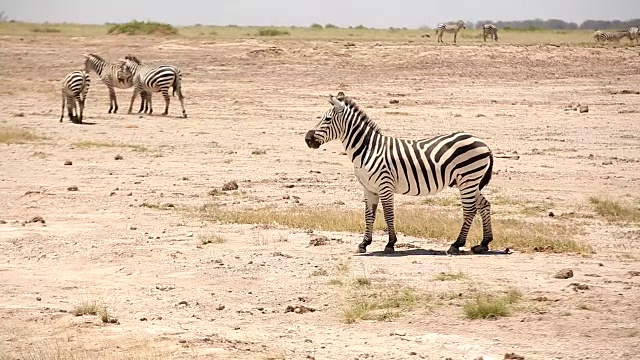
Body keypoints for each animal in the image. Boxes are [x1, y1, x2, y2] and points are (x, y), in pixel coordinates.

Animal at [304, 93, 496, 256]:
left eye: (327, 119)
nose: (307, 139)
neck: (368, 148)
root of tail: (484, 144)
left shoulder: (384, 184)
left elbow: (388, 214)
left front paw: (390, 244)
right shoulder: (368, 187)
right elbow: (369, 215)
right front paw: (364, 243)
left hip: (467, 178)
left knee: (470, 209)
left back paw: (456, 244)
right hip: (470, 181)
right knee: (484, 205)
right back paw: (483, 243)